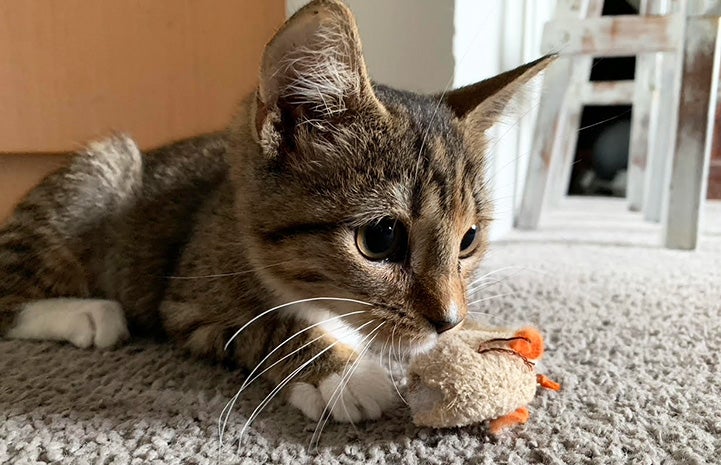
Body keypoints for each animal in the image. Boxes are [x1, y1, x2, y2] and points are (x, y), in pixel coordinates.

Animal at [1, 0, 552, 420]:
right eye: (381, 239)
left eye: (469, 240)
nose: (448, 322)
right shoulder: (187, 302)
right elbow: (265, 323)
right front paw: (339, 372)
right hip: (103, 173)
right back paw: (86, 312)